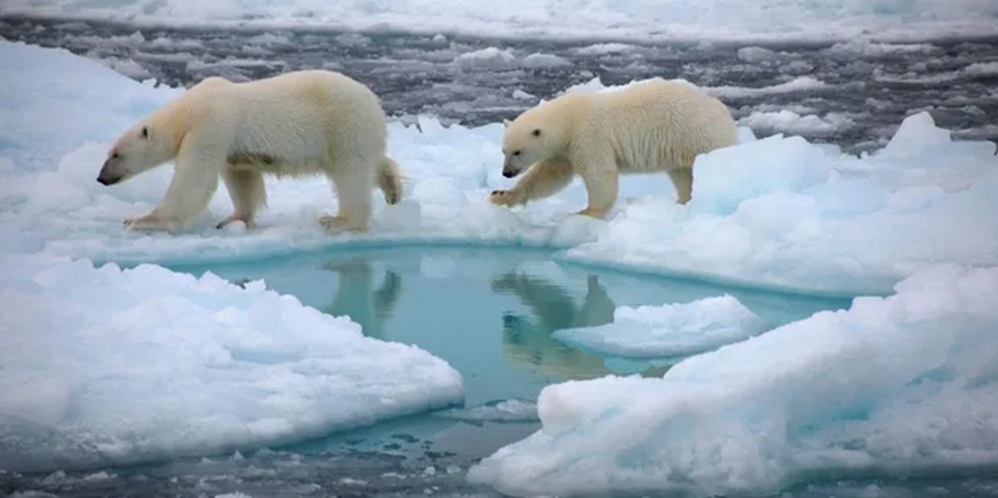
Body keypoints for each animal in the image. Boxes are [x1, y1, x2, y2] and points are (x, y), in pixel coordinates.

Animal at [96, 68, 402, 233]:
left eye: (116, 154)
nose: (101, 178)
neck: (189, 109)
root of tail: (375, 102)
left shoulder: (211, 126)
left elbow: (193, 180)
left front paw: (140, 220)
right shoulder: (229, 144)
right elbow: (241, 177)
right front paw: (233, 219)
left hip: (343, 125)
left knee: (351, 174)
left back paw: (339, 221)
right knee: (374, 162)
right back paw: (393, 189)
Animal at [488, 79, 740, 218]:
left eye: (518, 151)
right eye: (504, 150)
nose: (506, 173)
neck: (568, 121)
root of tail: (723, 112)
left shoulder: (589, 137)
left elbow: (599, 174)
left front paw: (587, 211)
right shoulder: (564, 151)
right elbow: (549, 176)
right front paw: (501, 195)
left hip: (700, 136)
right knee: (682, 174)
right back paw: (683, 201)